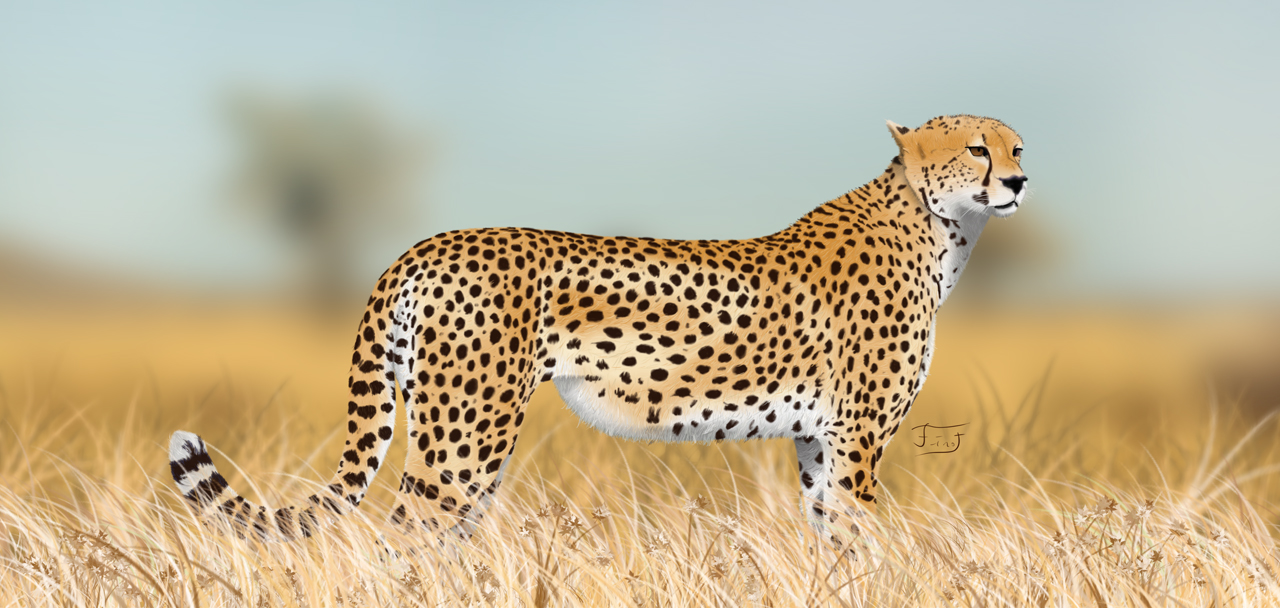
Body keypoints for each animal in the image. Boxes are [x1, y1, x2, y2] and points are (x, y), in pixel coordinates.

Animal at [169, 114, 1027, 552]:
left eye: (1018, 146)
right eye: (977, 148)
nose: (1019, 180)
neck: (940, 226)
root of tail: (428, 243)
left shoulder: (822, 440)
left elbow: (831, 535)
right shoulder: (855, 440)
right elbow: (863, 540)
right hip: (467, 437)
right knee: (406, 535)